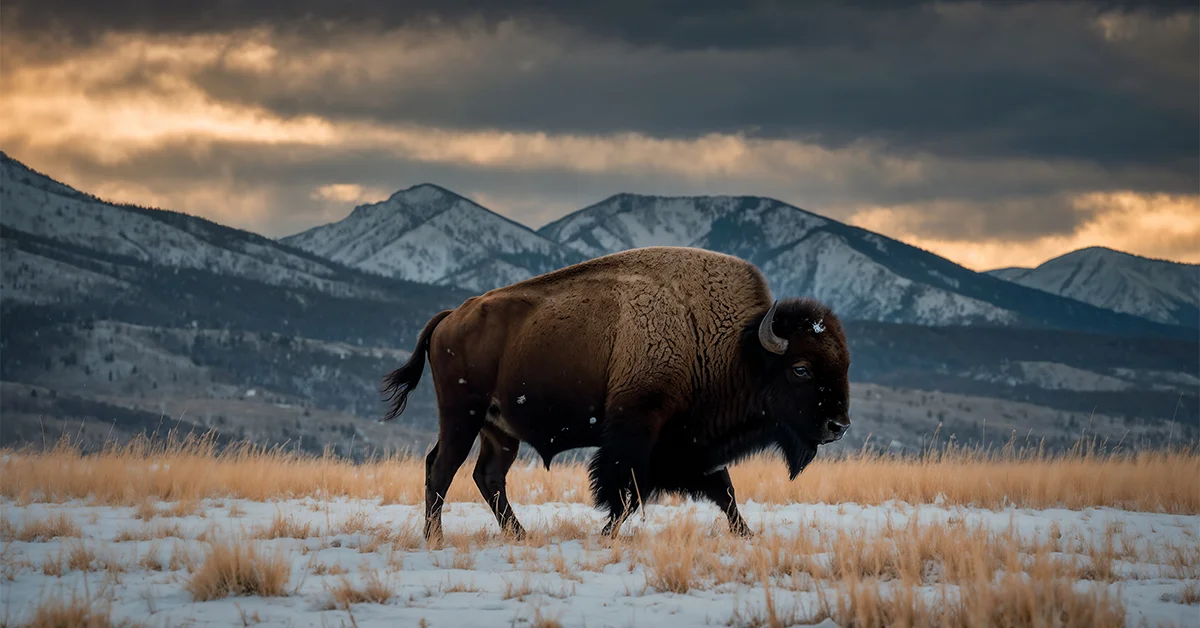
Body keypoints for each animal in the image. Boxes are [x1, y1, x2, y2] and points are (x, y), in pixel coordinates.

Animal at [381, 246, 851, 543]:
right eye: (801, 369)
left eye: (844, 365)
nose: (839, 425)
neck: (738, 346)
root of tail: (451, 316)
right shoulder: (636, 429)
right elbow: (626, 491)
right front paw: (606, 533)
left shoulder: (691, 444)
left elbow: (725, 491)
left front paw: (746, 534)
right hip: (463, 414)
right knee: (442, 469)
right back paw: (435, 538)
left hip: (500, 428)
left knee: (487, 476)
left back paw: (519, 535)